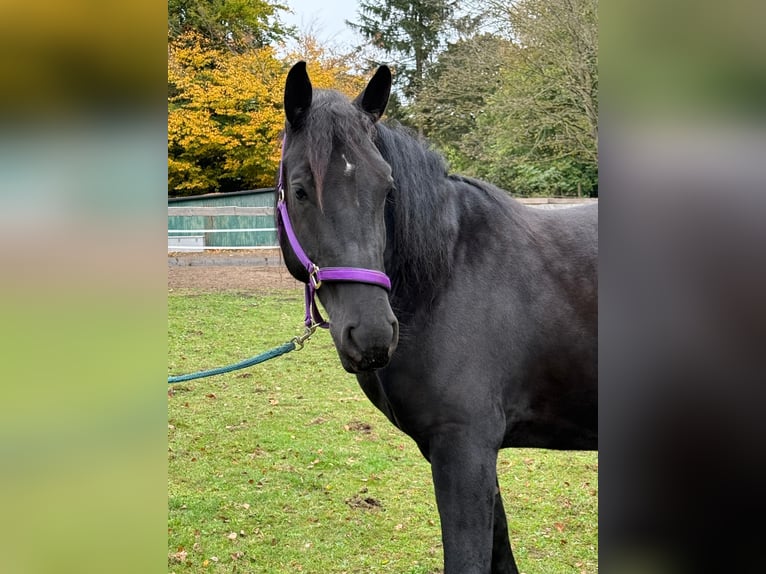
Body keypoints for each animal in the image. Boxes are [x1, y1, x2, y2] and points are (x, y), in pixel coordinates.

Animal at [276, 61, 597, 574]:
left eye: (387, 189)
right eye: (302, 190)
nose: (373, 335)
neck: (446, 273)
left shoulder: (464, 450)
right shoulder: (467, 453)